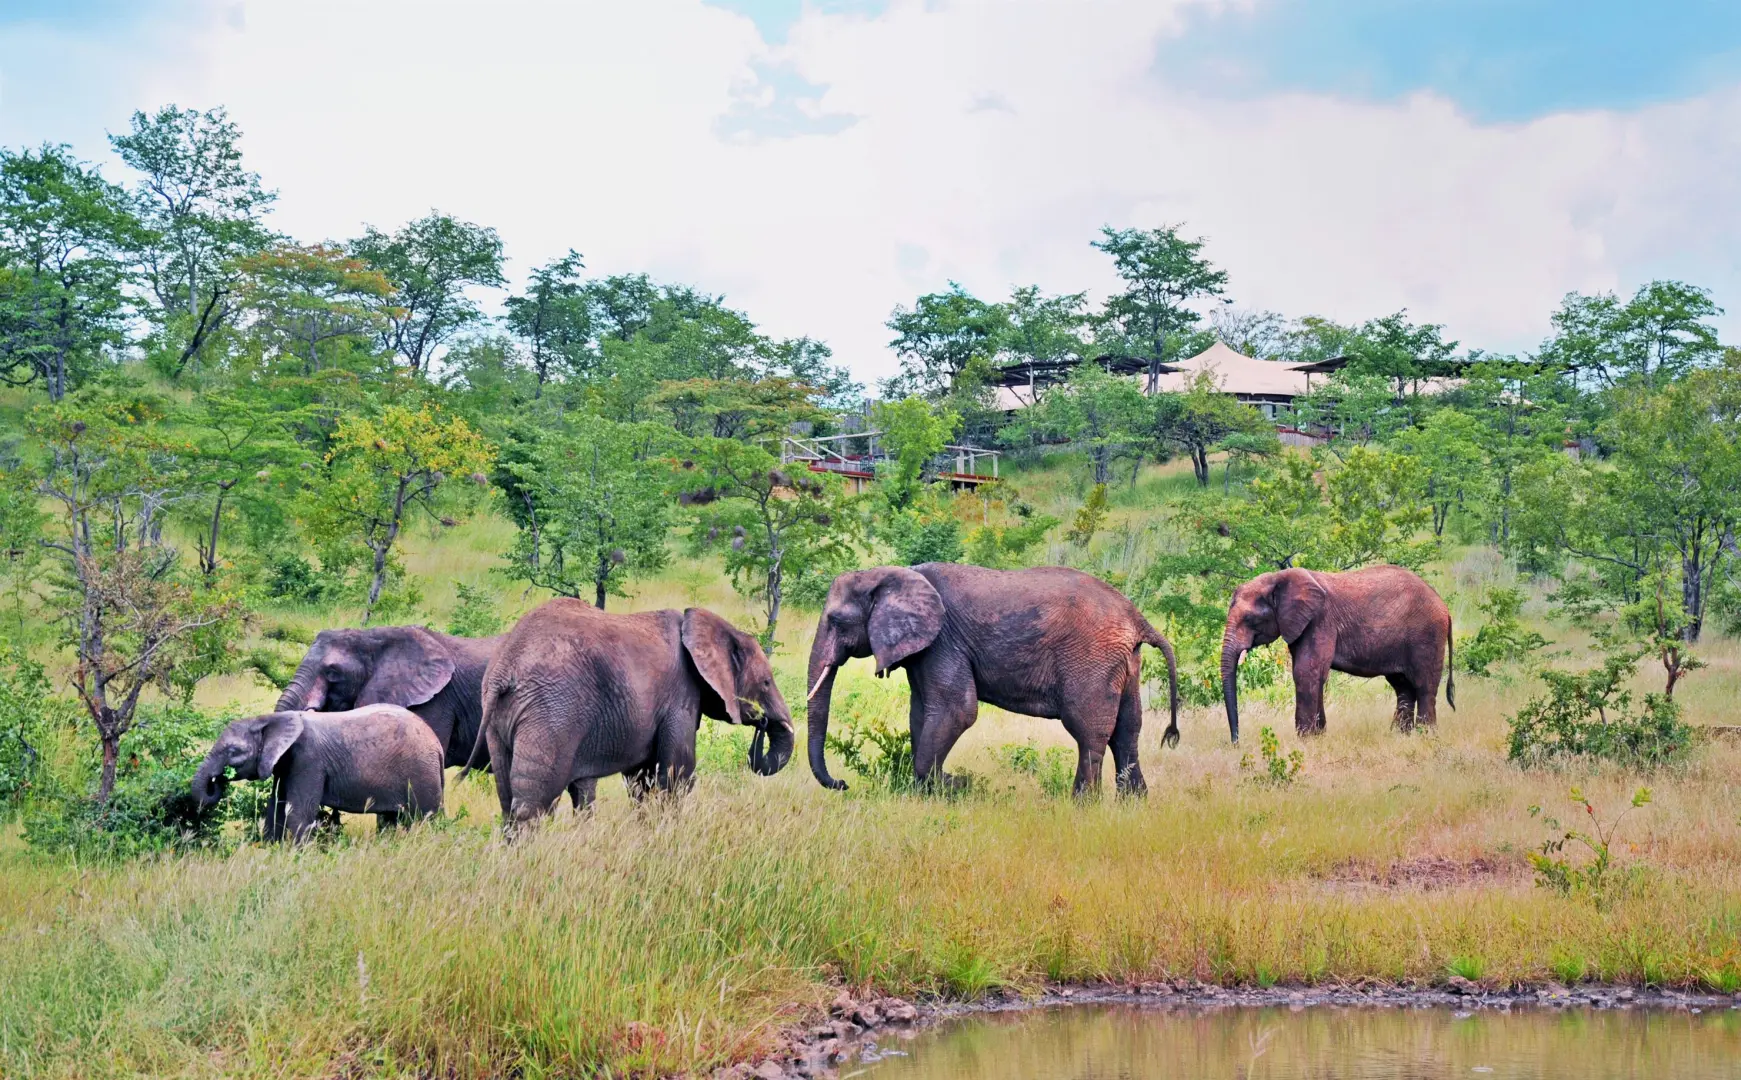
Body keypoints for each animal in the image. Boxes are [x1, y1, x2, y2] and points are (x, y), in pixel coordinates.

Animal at [192, 705, 443, 843]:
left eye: (233, 752)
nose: (218, 781)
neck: (270, 719)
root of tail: (437, 744)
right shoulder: (284, 764)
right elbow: (276, 809)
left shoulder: (308, 760)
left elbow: (299, 813)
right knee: (392, 820)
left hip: (421, 772)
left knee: (425, 818)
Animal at [473, 599, 795, 825]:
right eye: (766, 683)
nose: (762, 722)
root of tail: (505, 668)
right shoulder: (680, 696)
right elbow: (676, 775)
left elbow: (642, 780)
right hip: (552, 711)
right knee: (534, 801)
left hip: (499, 719)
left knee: (506, 796)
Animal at [805, 563, 1180, 797]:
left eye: (836, 621)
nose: (842, 783)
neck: (890, 573)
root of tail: (1136, 616)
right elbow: (921, 713)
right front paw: (934, 791)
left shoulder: (944, 640)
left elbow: (957, 711)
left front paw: (958, 785)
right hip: (1125, 664)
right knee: (1127, 730)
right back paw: (1134, 806)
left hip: (1092, 661)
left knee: (1089, 731)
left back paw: (1082, 806)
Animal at [1220, 565, 1454, 742]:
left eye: (1250, 620)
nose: (1236, 742)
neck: (1277, 578)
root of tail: (1444, 606)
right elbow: (1312, 674)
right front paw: (1318, 737)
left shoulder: (1320, 621)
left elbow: (1306, 672)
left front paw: (1305, 740)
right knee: (1403, 687)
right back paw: (1399, 736)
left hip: (1428, 635)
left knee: (1424, 687)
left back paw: (1426, 736)